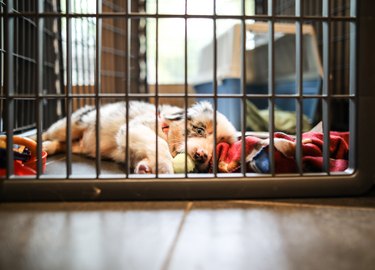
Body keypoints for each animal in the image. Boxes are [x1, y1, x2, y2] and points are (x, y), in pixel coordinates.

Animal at [42, 100, 236, 173]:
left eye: (219, 144)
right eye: (200, 130)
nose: (202, 155)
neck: (166, 129)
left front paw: (145, 168)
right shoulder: (135, 128)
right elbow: (159, 145)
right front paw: (165, 169)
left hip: (77, 144)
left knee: (61, 144)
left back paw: (46, 148)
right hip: (70, 125)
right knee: (48, 133)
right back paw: (38, 143)